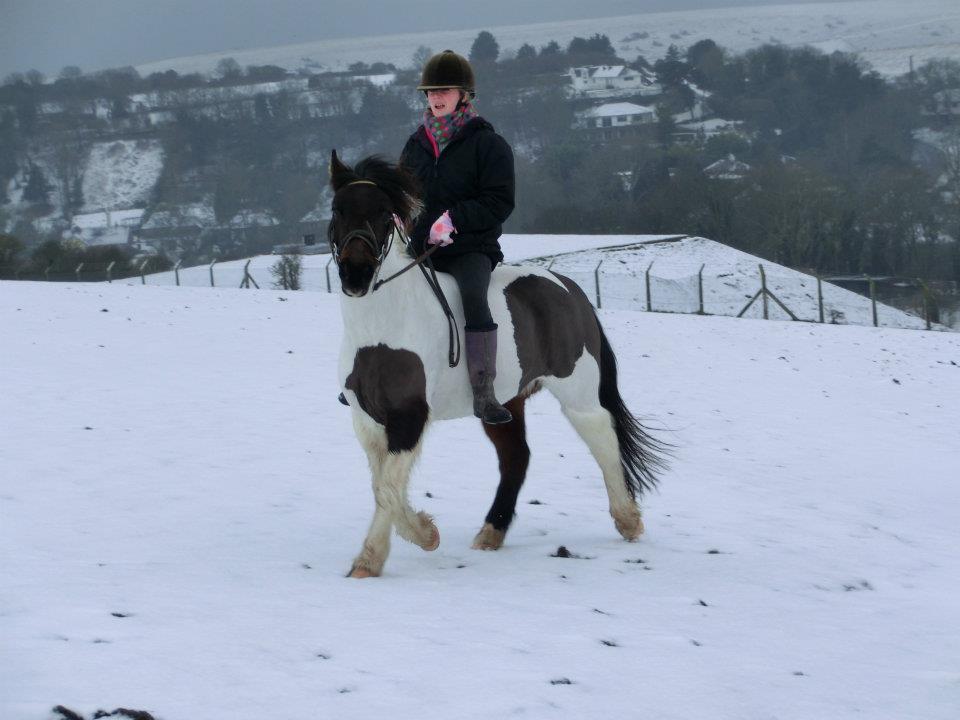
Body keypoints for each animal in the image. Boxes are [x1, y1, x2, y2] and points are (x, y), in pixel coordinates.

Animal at [328, 150, 665, 578]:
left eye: (384, 214)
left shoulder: (410, 416)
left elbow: (387, 488)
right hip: (503, 404)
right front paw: (389, 551)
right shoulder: (367, 419)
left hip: (578, 392)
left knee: (603, 435)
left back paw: (628, 520)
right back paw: (491, 532)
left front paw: (408, 543)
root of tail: (568, 288)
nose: (356, 275)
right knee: (517, 457)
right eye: (338, 209)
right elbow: (382, 486)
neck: (382, 327)